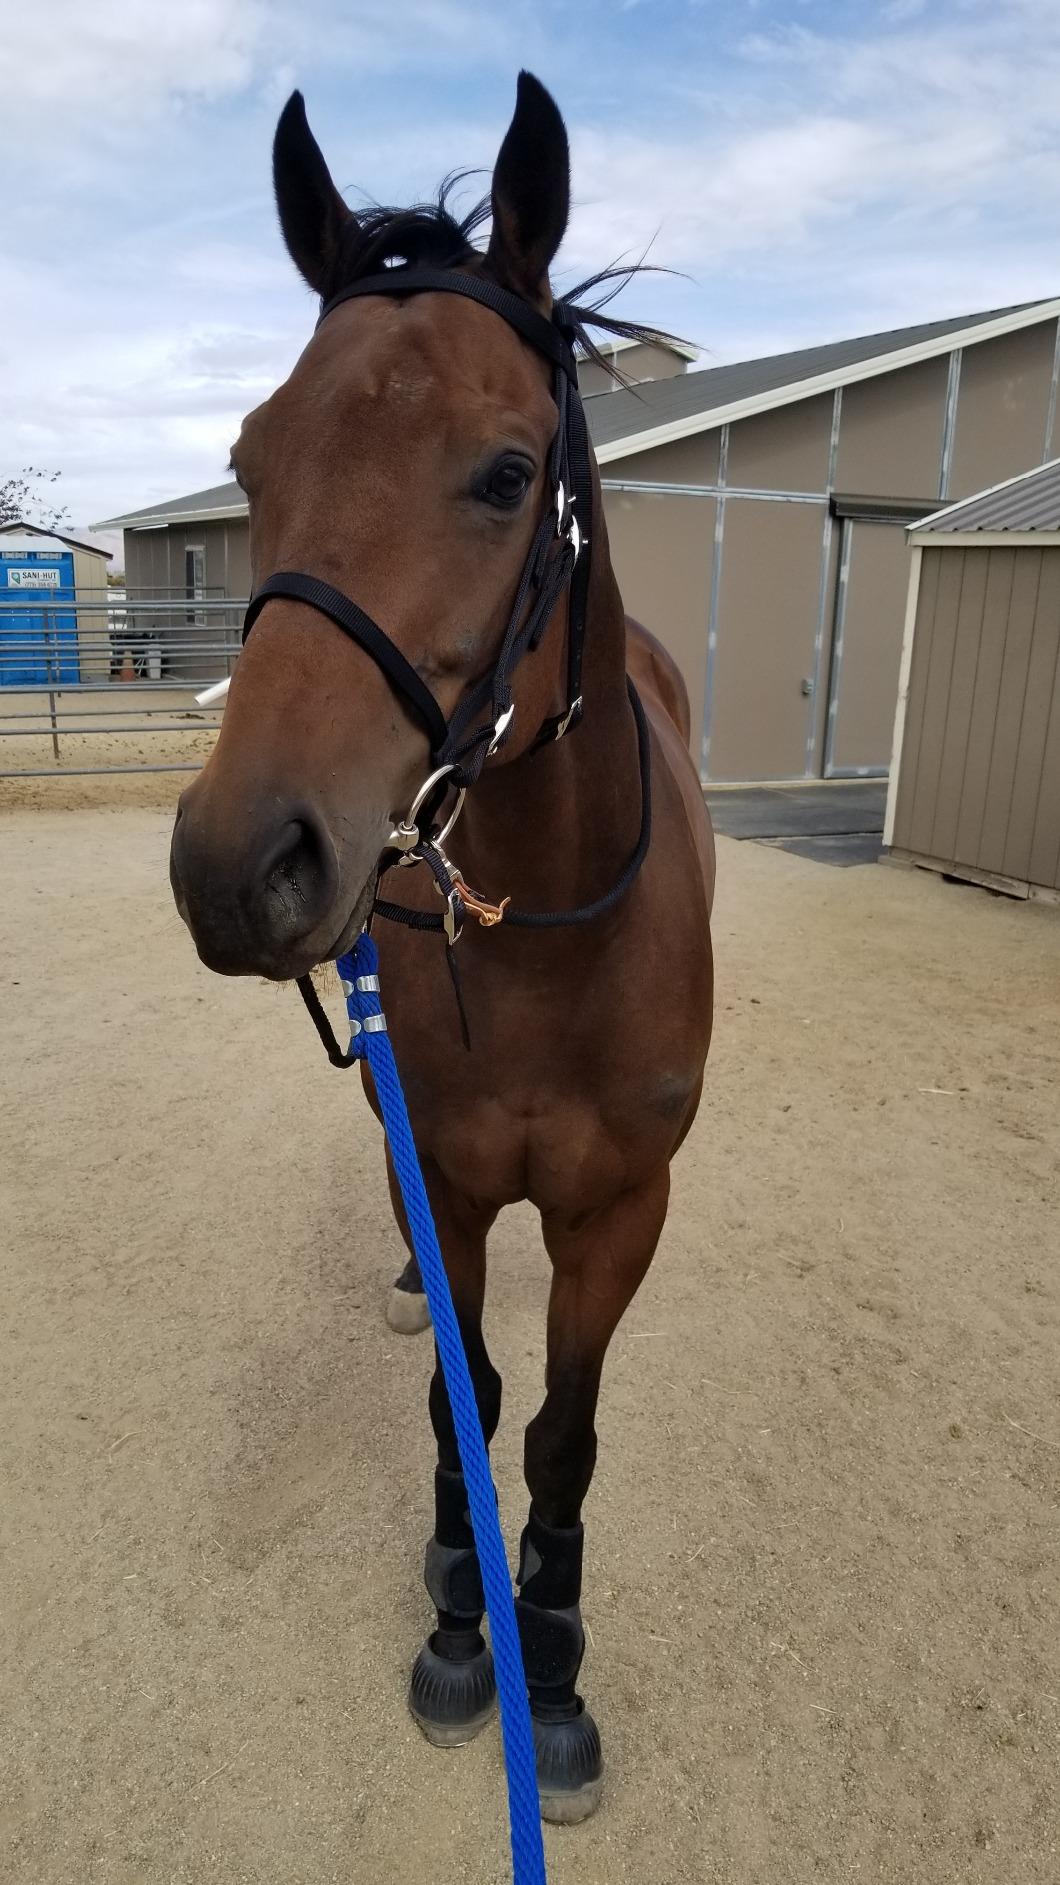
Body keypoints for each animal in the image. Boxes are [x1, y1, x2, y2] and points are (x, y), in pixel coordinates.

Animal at [170, 71, 715, 1824]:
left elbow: (557, 1437)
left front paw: (554, 1658)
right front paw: (466, 1615)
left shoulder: (621, 1212)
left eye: (503, 469)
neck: (545, 936)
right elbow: (464, 1401)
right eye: (251, 456)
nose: (239, 865)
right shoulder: (458, 1183)